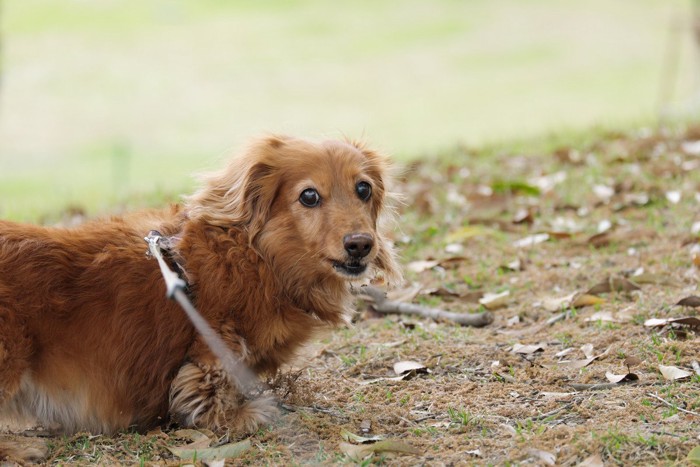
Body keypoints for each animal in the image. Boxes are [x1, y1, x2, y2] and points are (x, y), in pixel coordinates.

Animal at [0, 135, 400, 442]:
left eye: (363, 189)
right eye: (309, 196)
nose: (361, 245)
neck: (256, 258)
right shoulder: (214, 344)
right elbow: (210, 387)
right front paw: (243, 414)